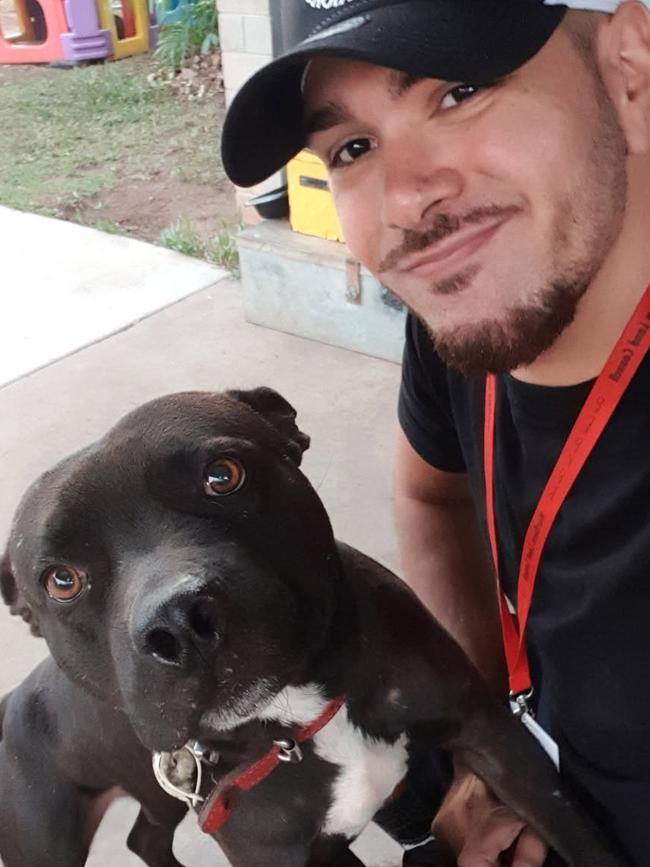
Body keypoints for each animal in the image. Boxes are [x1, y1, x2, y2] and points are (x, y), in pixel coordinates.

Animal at [0, 390, 628, 864]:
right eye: (62, 581)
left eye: (222, 475)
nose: (177, 620)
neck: (302, 717)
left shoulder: (495, 737)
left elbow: (580, 836)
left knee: (145, 835)